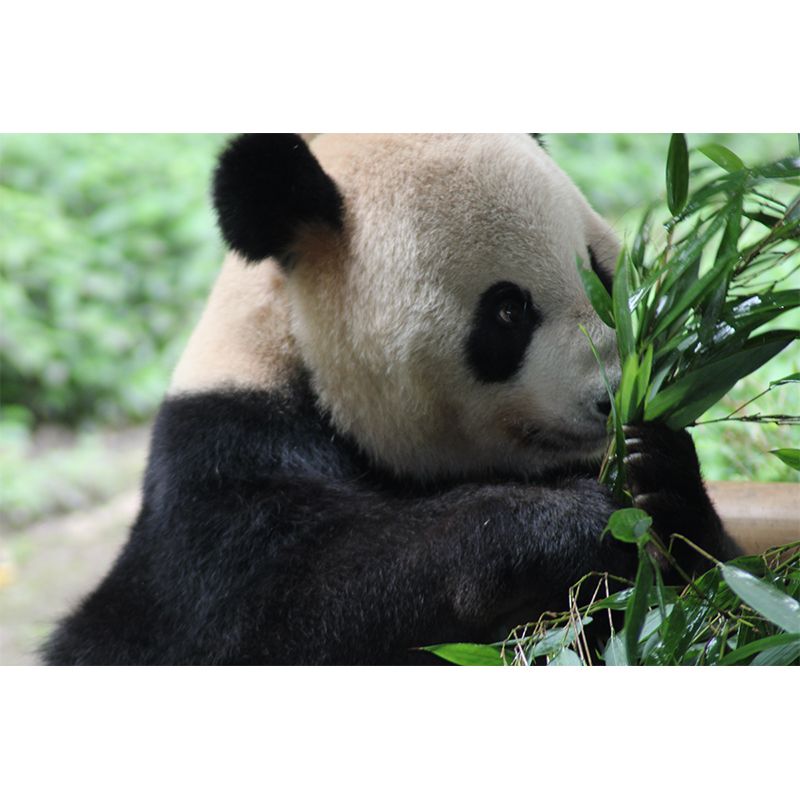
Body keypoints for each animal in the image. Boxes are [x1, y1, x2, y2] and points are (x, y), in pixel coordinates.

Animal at [43, 134, 739, 665]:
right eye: (507, 311)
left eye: (600, 272)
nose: (613, 397)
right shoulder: (219, 469)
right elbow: (280, 610)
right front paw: (562, 524)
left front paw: (659, 473)